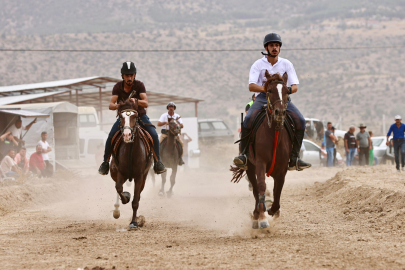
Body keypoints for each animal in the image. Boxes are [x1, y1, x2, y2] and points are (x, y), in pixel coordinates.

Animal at [109, 99, 152, 230]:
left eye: (135, 116)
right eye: (121, 117)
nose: (127, 134)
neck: (131, 151)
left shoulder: (139, 176)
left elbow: (135, 201)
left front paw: (134, 222)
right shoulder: (120, 172)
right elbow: (119, 188)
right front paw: (125, 197)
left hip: (144, 177)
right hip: (114, 172)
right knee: (117, 188)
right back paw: (116, 209)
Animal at [232, 70, 292, 229]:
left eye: (287, 91)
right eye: (269, 90)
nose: (279, 113)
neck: (274, 134)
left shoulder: (282, 169)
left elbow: (277, 192)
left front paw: (273, 210)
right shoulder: (260, 163)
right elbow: (261, 187)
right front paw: (262, 218)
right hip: (250, 167)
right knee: (255, 189)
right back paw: (256, 216)